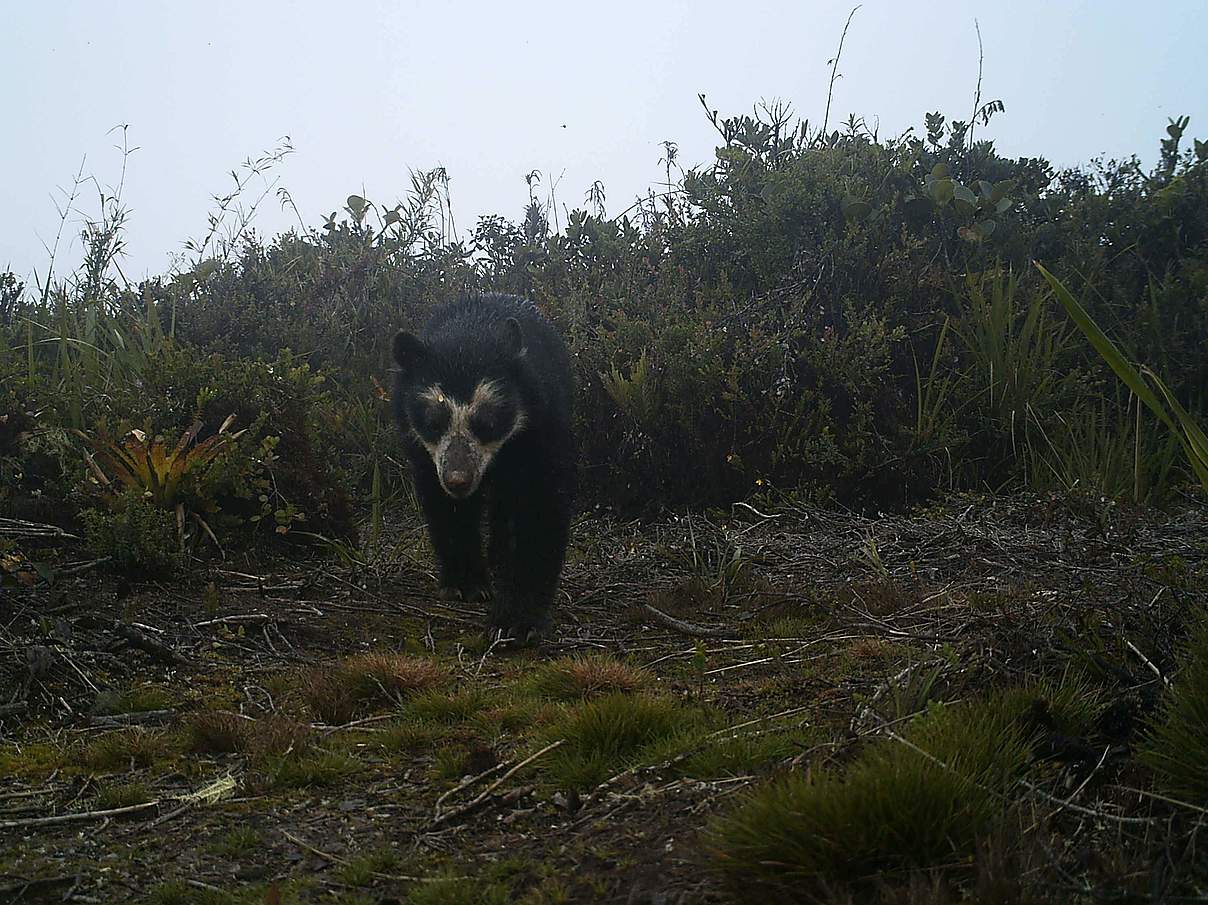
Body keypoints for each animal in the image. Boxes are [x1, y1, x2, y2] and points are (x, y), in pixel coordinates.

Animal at [388, 293, 572, 637]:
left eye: (488, 422)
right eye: (433, 422)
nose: (458, 480)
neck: (468, 333)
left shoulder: (541, 425)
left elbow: (539, 505)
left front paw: (518, 620)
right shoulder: (421, 451)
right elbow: (444, 507)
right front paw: (466, 585)